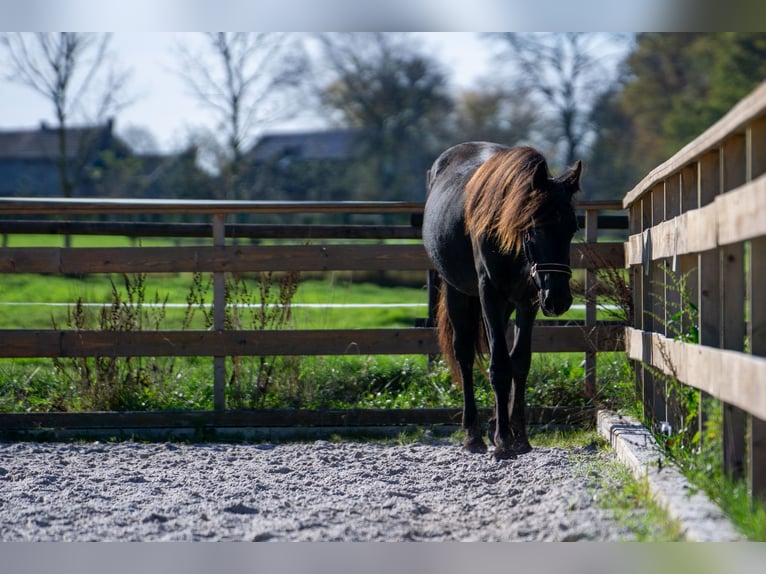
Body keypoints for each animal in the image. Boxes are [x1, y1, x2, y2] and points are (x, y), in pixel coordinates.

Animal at [420, 144, 584, 464]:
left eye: (572, 228)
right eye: (534, 228)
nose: (558, 299)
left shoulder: (527, 299)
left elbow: (518, 362)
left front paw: (517, 434)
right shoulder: (490, 293)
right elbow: (499, 364)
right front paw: (504, 440)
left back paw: (495, 424)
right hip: (459, 292)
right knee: (464, 354)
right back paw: (473, 434)